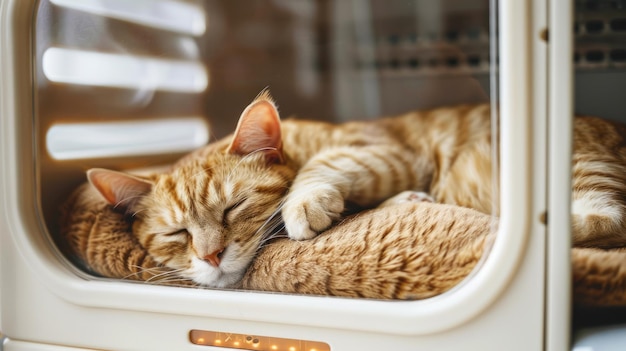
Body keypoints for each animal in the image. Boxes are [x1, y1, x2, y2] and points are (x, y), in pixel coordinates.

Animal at [85, 91, 624, 288]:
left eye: (233, 208)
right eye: (176, 235)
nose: (212, 257)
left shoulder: (384, 150)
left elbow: (322, 165)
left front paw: (304, 202)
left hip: (580, 165)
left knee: (608, 219)